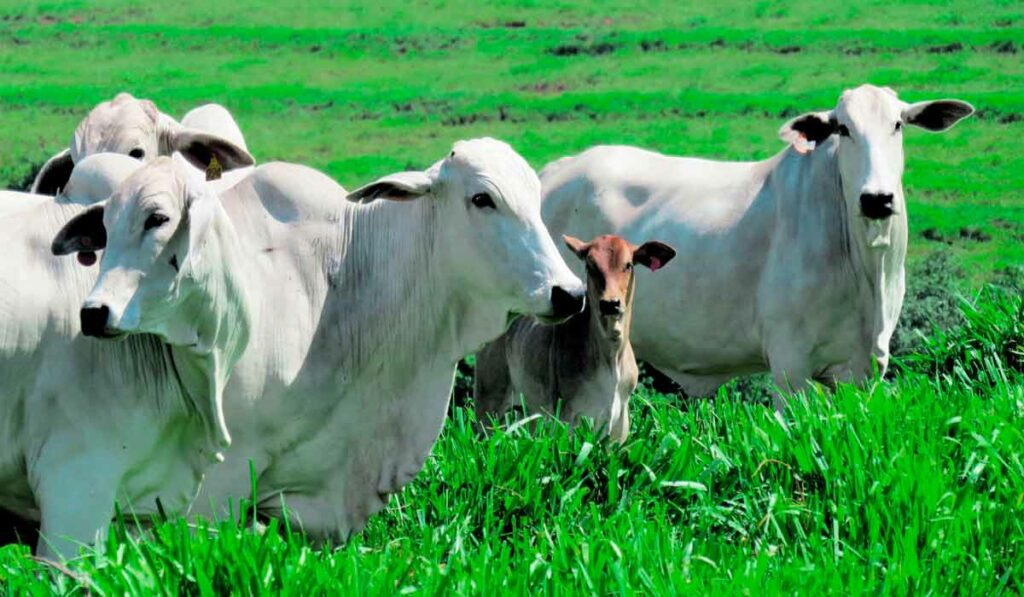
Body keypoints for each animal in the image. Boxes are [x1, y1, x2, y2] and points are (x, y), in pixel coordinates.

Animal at [475, 233, 675, 444]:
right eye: (590, 266)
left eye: (628, 265)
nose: (610, 303)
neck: (611, 359)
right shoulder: (569, 417)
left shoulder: (619, 427)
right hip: (488, 400)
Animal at [540, 83, 970, 409]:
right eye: (843, 129)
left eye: (897, 125)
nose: (876, 198)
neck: (867, 266)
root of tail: (554, 172)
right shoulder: (790, 364)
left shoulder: (864, 368)